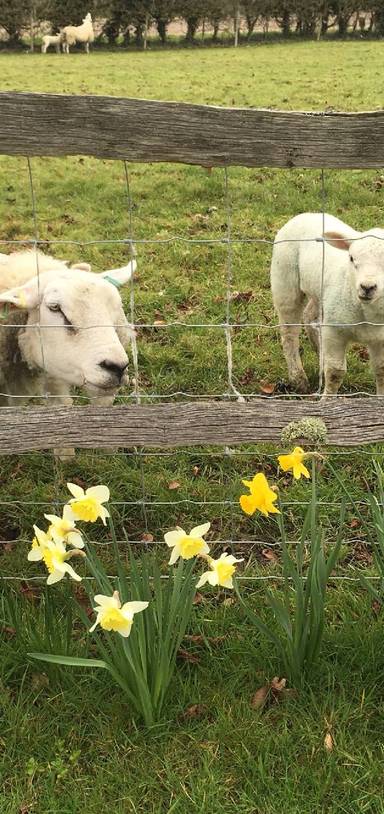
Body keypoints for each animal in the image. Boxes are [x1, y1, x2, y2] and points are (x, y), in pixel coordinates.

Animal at [270, 214, 384, 398]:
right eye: (351, 258)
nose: (367, 287)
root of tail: (306, 214)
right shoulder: (334, 330)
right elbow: (335, 372)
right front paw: (328, 400)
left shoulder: (381, 338)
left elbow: (381, 371)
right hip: (284, 281)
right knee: (289, 334)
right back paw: (298, 379)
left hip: (320, 294)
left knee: (309, 316)